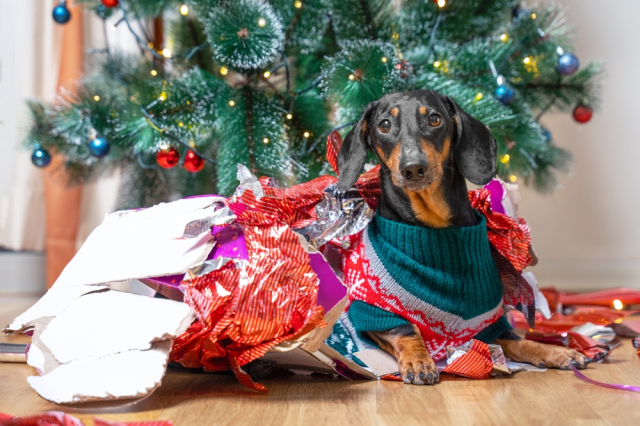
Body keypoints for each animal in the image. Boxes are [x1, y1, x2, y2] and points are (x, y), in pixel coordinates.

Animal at [338, 90, 588, 386]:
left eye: (435, 119)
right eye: (384, 125)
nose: (413, 168)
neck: (434, 227)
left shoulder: (488, 322)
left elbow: (518, 340)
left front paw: (555, 352)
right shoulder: (370, 312)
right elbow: (406, 329)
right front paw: (419, 361)